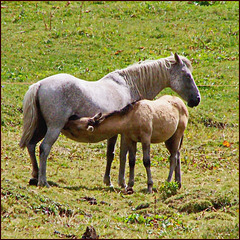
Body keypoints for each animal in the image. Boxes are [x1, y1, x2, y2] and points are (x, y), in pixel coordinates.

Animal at [19, 52, 201, 188]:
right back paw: (43, 181)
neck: (127, 85)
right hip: (54, 128)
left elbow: (111, 154)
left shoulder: (114, 133)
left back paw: (35, 176)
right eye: (186, 75)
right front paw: (122, 182)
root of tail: (40, 84)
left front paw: (109, 181)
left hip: (41, 127)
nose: (196, 99)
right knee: (44, 148)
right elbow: (123, 155)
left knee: (31, 145)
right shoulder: (123, 134)